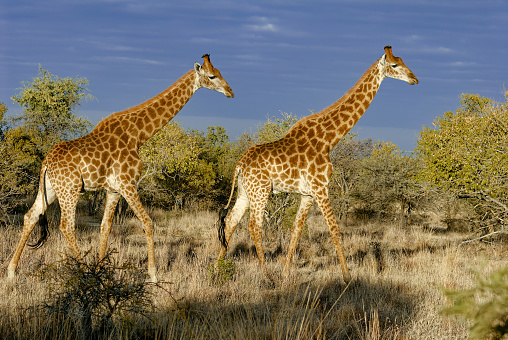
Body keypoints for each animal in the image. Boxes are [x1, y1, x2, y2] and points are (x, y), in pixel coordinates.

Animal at [7, 53, 234, 282]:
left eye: (220, 72)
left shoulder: (113, 189)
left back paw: (11, 271)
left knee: (30, 216)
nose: (230, 92)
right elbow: (148, 222)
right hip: (69, 189)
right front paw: (153, 274)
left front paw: (101, 269)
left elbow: (105, 227)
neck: (138, 135)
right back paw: (82, 271)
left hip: (51, 188)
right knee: (66, 226)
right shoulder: (128, 183)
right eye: (212, 76)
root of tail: (46, 162)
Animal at [216, 45, 418, 284]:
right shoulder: (321, 187)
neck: (329, 139)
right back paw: (265, 276)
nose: (414, 79)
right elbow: (335, 229)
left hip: (245, 191)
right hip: (261, 190)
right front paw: (347, 277)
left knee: (230, 221)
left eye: (403, 61)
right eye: (395, 65)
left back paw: (216, 270)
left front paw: (285, 273)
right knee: (254, 226)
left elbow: (296, 229)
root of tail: (239, 165)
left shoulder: (308, 193)